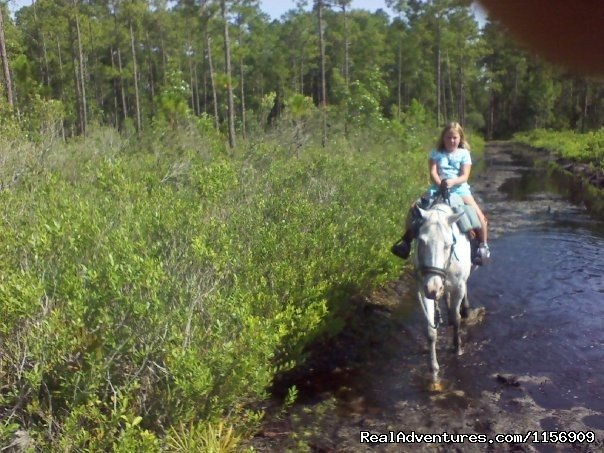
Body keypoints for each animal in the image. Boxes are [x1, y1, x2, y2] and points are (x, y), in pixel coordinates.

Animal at [412, 201, 474, 382]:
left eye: (448, 244)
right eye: (421, 241)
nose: (433, 288)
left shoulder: (459, 287)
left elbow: (457, 317)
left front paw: (457, 347)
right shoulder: (424, 290)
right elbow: (431, 331)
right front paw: (433, 368)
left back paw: (465, 309)